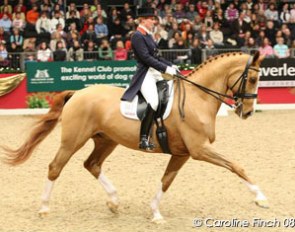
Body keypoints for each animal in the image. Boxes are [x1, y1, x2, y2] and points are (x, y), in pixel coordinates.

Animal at [2, 51, 270, 223]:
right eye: (253, 78)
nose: (247, 112)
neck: (198, 98)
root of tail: (77, 93)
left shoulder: (183, 153)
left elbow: (166, 180)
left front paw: (155, 213)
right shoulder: (199, 149)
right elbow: (236, 166)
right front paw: (261, 198)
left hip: (106, 140)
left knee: (92, 164)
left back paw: (114, 202)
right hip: (72, 140)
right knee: (55, 167)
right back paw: (44, 209)